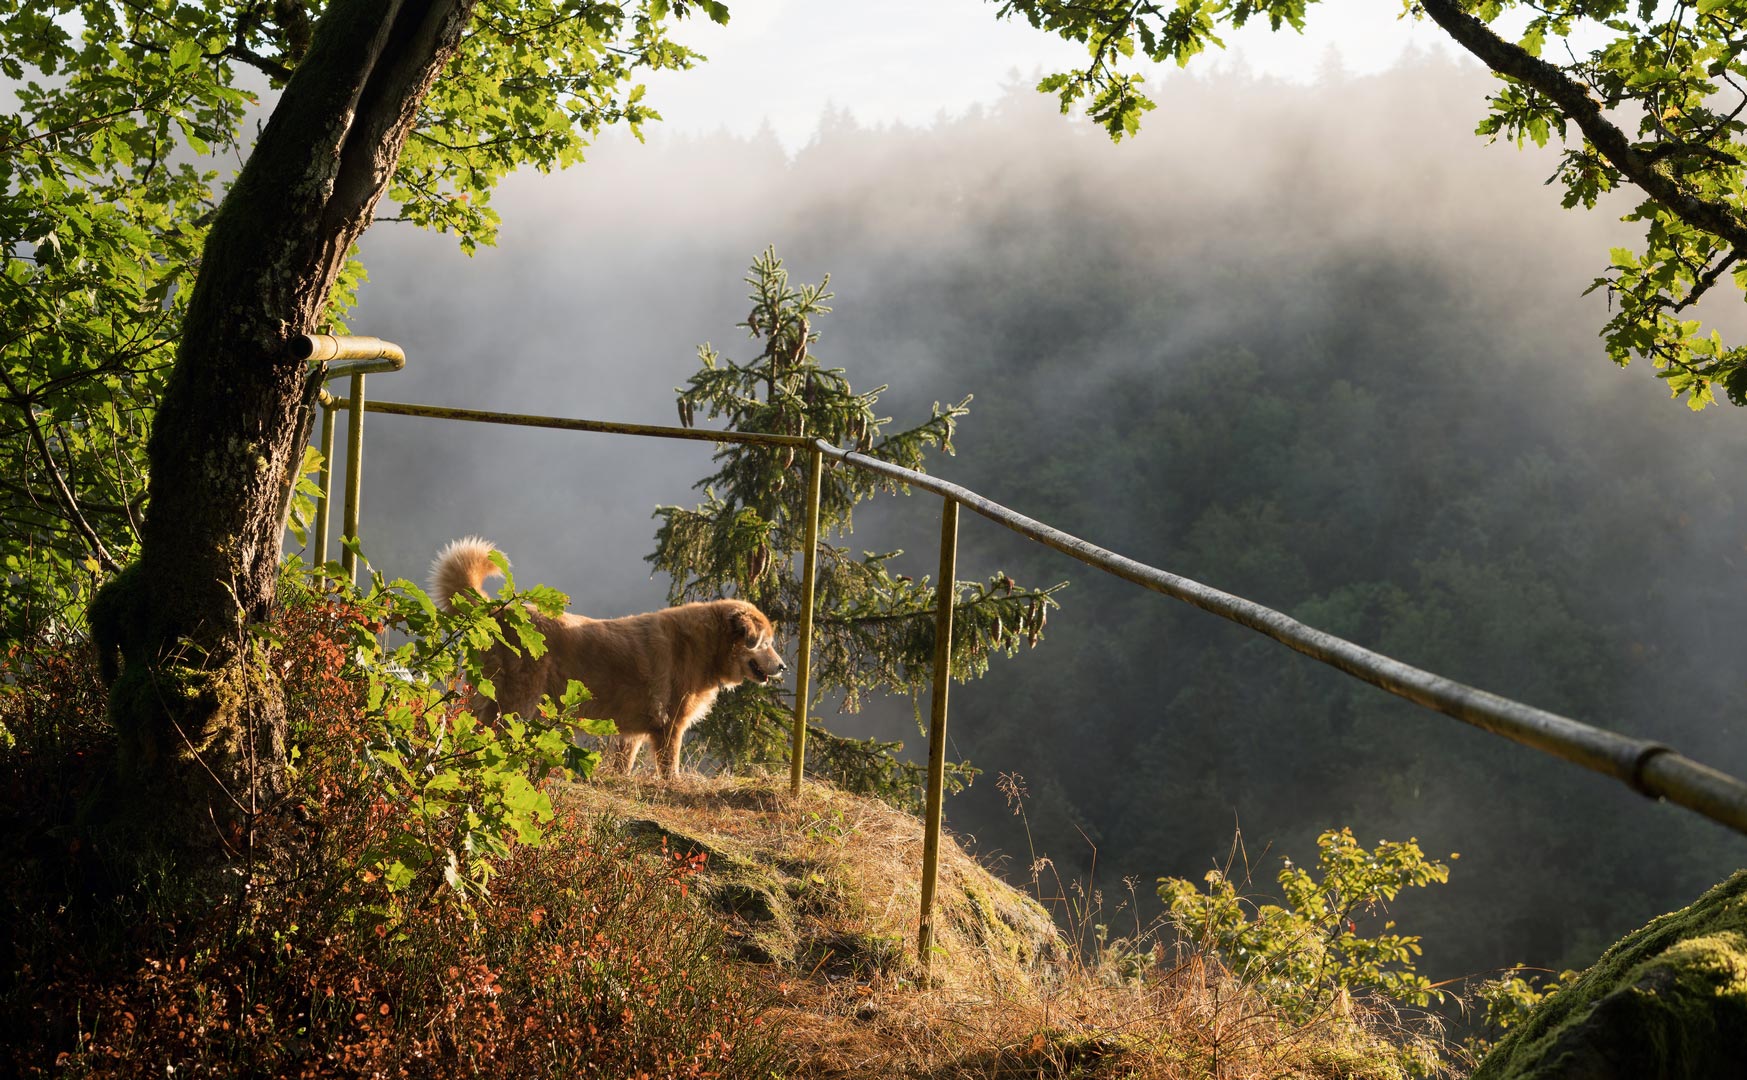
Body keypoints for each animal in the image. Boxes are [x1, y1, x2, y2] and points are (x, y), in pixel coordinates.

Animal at [433, 534, 789, 772]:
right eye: (766, 643)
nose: (784, 667)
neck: (702, 646)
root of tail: (500, 610)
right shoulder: (669, 728)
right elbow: (669, 770)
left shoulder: (630, 734)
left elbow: (623, 766)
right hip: (518, 703)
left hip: (489, 698)